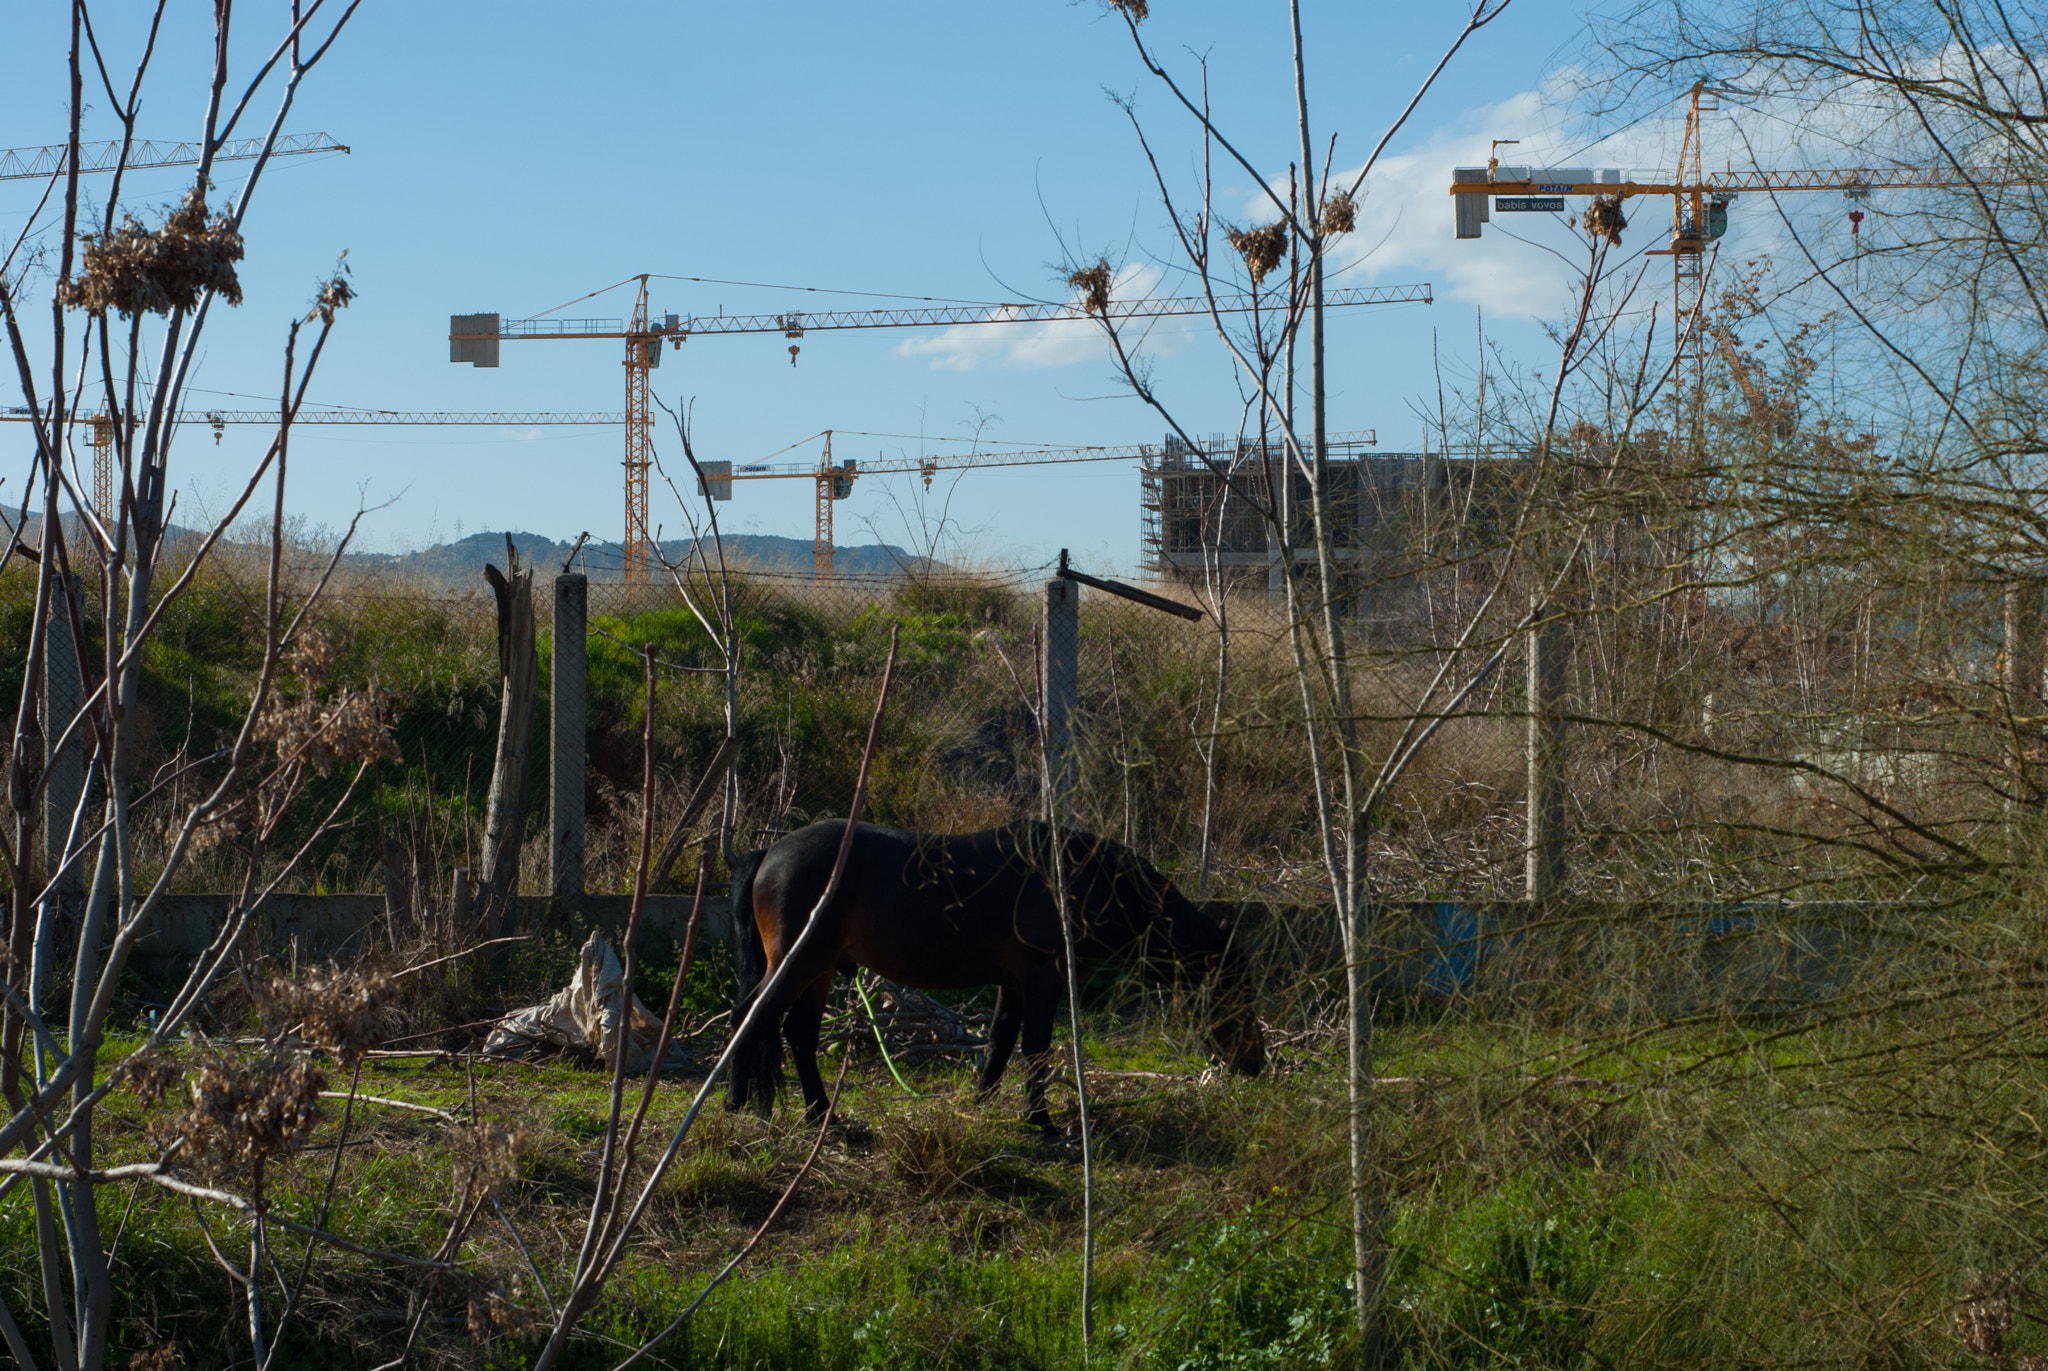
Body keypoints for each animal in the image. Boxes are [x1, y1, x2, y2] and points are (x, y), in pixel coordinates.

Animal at [720, 819, 1261, 1131]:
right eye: (1237, 992)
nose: (1255, 1065)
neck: (1080, 878)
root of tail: (769, 853)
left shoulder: (1014, 982)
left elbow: (1000, 1042)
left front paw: (981, 1104)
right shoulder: (1044, 978)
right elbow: (1036, 1047)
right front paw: (1040, 1120)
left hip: (819, 971)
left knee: (798, 1034)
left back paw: (818, 1114)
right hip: (799, 965)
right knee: (752, 1017)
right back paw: (737, 1102)